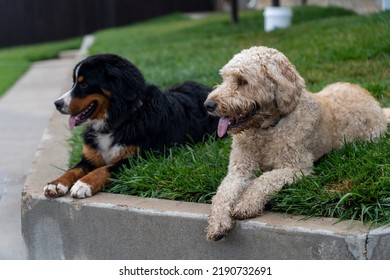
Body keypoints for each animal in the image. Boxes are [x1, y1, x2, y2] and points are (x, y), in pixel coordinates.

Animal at [204, 46, 386, 241]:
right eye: (225, 78)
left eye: (242, 80)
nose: (208, 104)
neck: (266, 130)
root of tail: (375, 103)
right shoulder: (239, 169)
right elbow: (223, 193)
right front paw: (218, 222)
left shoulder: (296, 167)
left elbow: (263, 180)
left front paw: (246, 203)